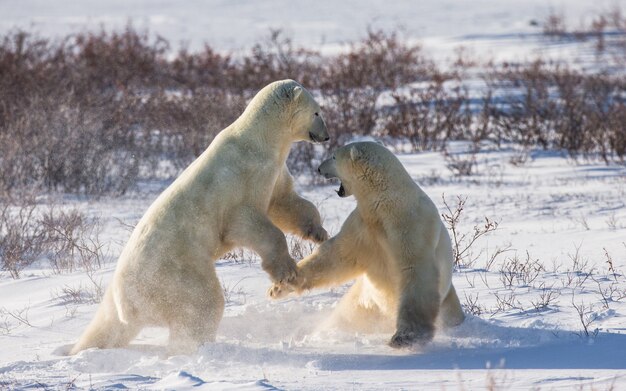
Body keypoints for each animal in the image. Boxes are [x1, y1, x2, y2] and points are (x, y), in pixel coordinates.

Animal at [70, 79, 330, 356]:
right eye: (317, 112)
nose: (326, 136)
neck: (259, 139)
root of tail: (127, 303)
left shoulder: (274, 172)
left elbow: (286, 202)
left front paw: (319, 233)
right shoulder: (242, 180)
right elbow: (247, 222)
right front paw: (287, 272)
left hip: (121, 294)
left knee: (107, 325)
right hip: (174, 273)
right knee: (202, 302)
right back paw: (197, 345)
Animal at [268, 142, 464, 350]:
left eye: (334, 156)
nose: (319, 168)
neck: (387, 202)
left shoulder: (409, 225)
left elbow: (415, 272)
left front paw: (404, 337)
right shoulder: (365, 226)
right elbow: (338, 255)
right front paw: (280, 286)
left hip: (446, 299)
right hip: (364, 301)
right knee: (345, 317)